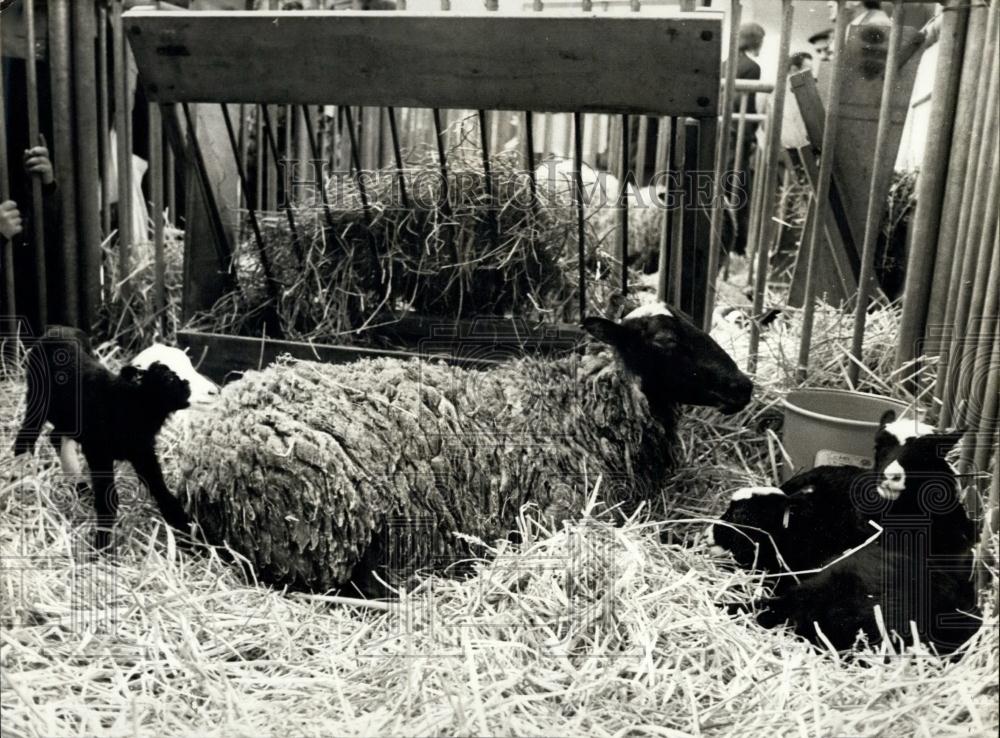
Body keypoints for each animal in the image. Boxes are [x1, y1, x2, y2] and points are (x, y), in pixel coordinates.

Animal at [14, 324, 193, 548]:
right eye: (168, 378)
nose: (210, 391)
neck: (125, 402)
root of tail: (58, 329)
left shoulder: (142, 451)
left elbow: (163, 492)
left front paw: (188, 536)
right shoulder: (98, 451)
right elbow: (108, 500)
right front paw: (101, 546)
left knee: (55, 437)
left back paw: (80, 488)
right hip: (37, 397)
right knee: (27, 435)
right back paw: (18, 477)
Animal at [174, 302, 752, 588]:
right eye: (665, 339)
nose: (743, 386)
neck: (579, 406)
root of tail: (197, 459)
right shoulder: (560, 513)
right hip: (314, 536)